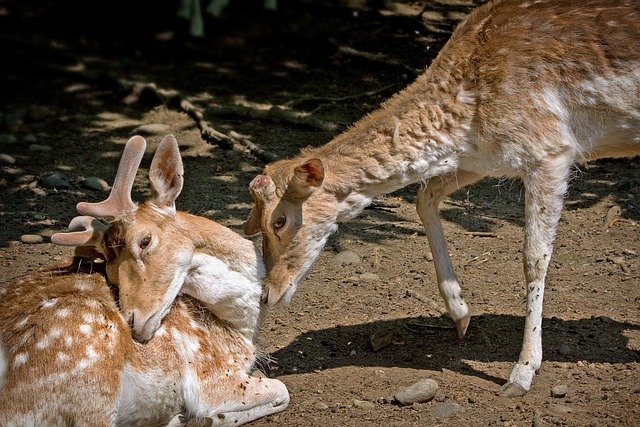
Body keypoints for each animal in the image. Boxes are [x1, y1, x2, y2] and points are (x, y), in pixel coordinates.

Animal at [0, 135, 288, 426]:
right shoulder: (213, 375)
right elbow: (281, 389)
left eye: (145, 241)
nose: (132, 322)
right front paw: (210, 417)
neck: (241, 328)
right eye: (110, 273)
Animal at [244, 0, 640, 398]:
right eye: (254, 225)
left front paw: (521, 374)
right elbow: (424, 196)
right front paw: (461, 314)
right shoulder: (483, 157)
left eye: (279, 220)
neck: (468, 112)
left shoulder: (551, 148)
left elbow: (534, 257)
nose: (268, 294)